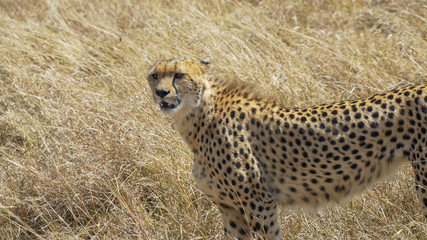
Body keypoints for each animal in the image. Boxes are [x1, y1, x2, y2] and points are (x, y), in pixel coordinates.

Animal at [147, 57, 427, 239]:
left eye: (179, 75)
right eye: (154, 75)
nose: (161, 92)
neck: (198, 113)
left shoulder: (259, 203)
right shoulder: (230, 209)